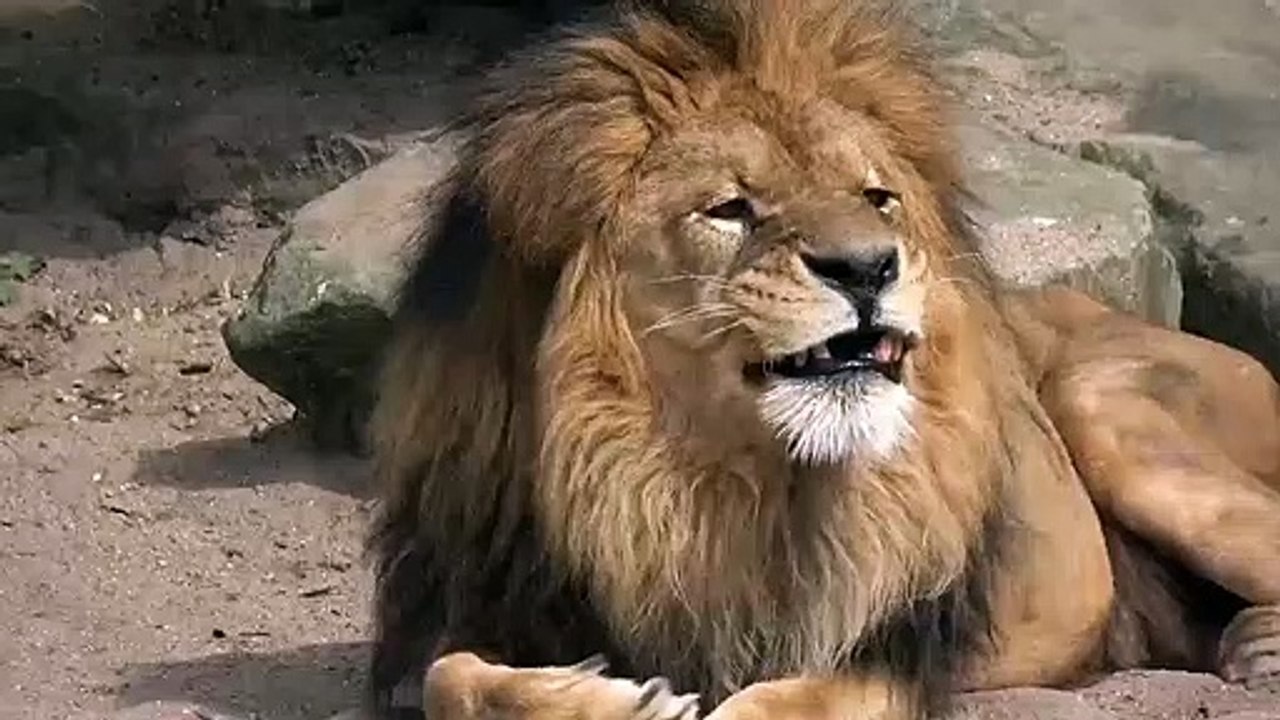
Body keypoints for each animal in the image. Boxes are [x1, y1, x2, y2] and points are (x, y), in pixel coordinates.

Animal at [364, 1, 1280, 719]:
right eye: (730, 208)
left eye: (876, 197)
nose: (867, 267)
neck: (683, 478)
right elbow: (449, 679)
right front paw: (606, 696)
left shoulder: (892, 650)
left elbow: (768, 705)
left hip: (1103, 402)